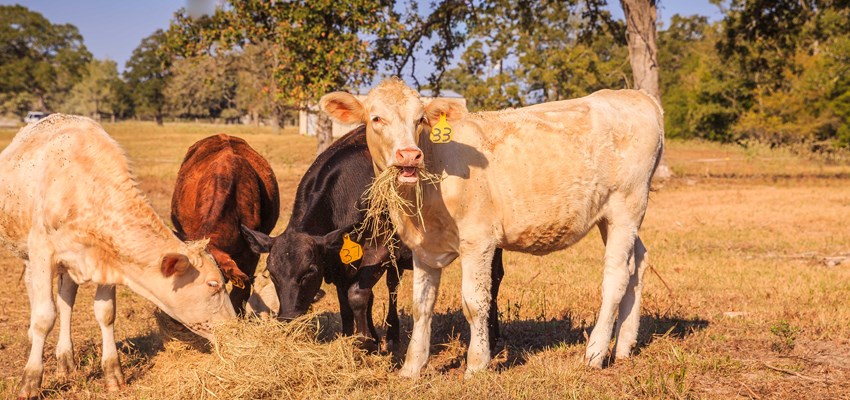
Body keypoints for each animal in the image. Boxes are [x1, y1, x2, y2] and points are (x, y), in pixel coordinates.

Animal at [0, 115, 236, 399]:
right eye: (213, 285)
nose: (236, 327)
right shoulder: (42, 252)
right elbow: (44, 316)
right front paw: (31, 381)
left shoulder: (110, 261)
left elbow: (106, 313)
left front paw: (113, 373)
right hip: (28, 252)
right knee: (35, 294)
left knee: (66, 301)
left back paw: (65, 360)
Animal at [241, 126, 505, 352]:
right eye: (272, 273)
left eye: (310, 271)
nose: (288, 320)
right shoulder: (340, 262)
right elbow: (347, 302)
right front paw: (355, 338)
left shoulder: (379, 250)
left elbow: (357, 295)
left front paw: (365, 341)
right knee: (392, 285)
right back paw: (392, 336)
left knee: (493, 279)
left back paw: (492, 336)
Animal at [320, 78, 664, 377]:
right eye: (376, 118)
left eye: (420, 119)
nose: (409, 155)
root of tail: (637, 96)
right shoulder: (423, 248)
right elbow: (421, 305)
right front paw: (412, 368)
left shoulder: (479, 240)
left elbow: (474, 302)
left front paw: (476, 364)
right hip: (612, 216)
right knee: (638, 263)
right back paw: (623, 347)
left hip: (626, 206)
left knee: (616, 277)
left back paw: (595, 352)